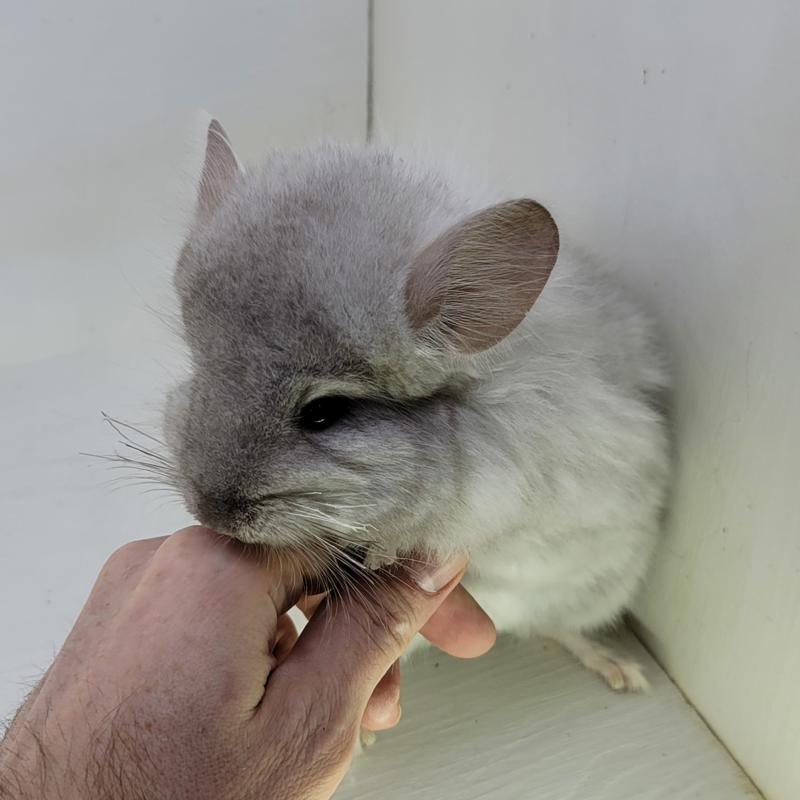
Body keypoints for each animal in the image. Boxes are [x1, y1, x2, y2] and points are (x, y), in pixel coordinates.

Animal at [163, 120, 671, 691]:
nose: (211, 515)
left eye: (324, 412)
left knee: (559, 627)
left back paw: (620, 670)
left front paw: (382, 551)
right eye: (200, 367)